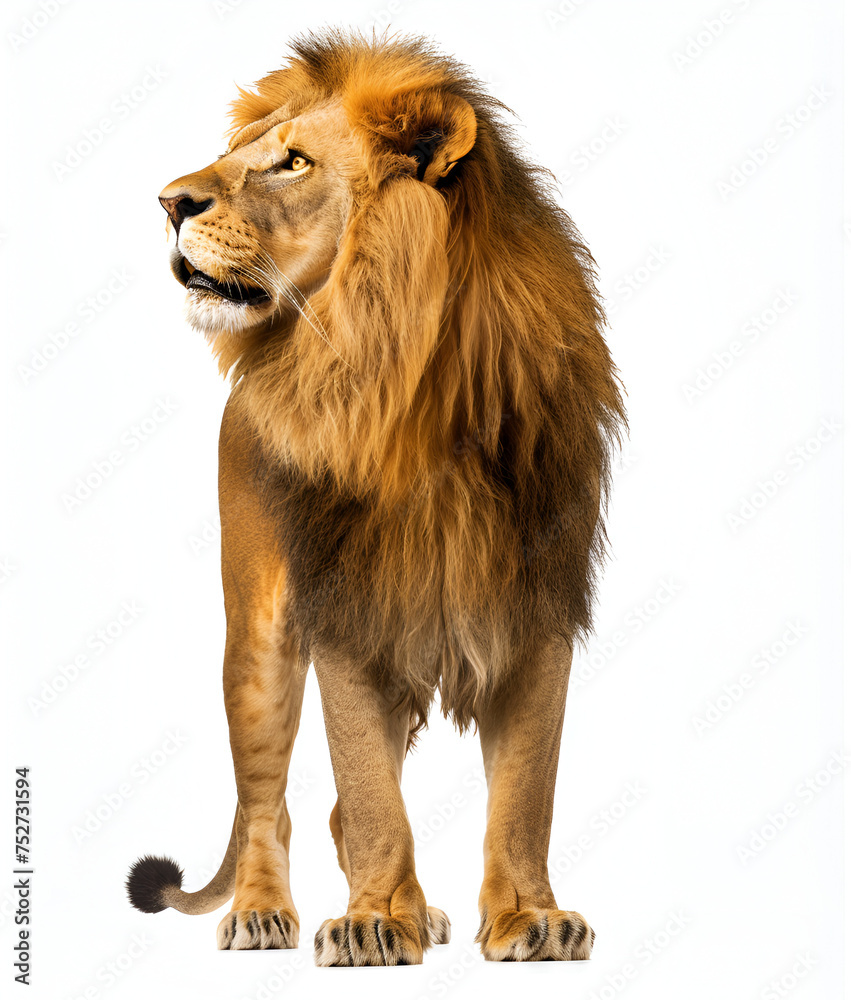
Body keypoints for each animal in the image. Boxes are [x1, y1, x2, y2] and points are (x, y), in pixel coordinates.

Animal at [126, 30, 625, 965]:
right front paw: (371, 922)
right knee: (270, 804)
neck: (404, 392)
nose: (167, 202)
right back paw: (265, 911)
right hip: (258, 639)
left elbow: (524, 792)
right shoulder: (345, 606)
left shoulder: (535, 603)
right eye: (242, 152)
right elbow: (366, 789)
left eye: (290, 161)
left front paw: (528, 919)